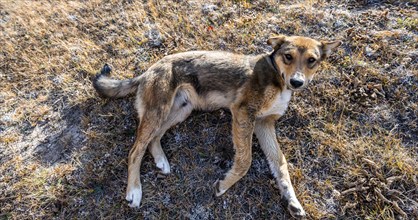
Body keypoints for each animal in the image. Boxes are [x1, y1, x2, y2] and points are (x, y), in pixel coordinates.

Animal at [94, 35, 342, 217]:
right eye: (288, 56)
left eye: (311, 60)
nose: (297, 82)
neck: (277, 76)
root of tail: (149, 70)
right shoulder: (243, 113)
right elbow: (245, 161)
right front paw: (224, 185)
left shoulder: (264, 124)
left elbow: (280, 165)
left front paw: (292, 201)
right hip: (159, 111)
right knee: (135, 150)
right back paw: (134, 190)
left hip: (180, 110)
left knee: (154, 138)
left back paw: (162, 161)